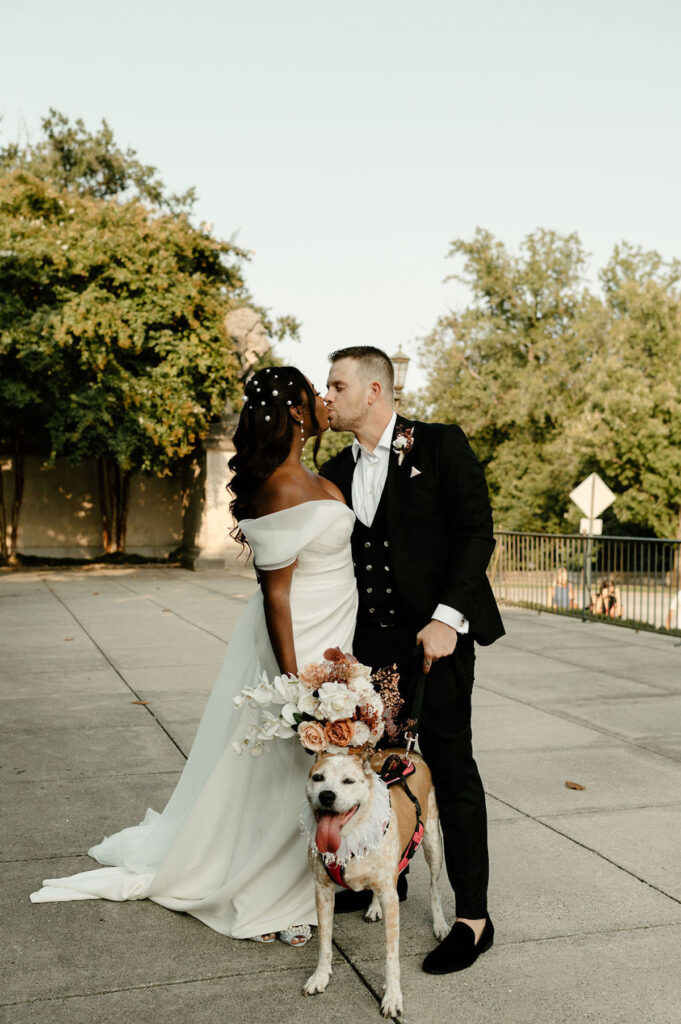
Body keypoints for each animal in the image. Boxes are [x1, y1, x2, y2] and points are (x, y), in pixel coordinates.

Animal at [301, 745, 448, 1015]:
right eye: (318, 778)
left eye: (348, 781)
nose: (326, 795)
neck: (349, 835)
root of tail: (407, 751)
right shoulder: (323, 891)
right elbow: (325, 942)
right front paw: (320, 977)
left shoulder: (391, 898)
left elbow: (391, 955)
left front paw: (392, 996)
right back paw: (373, 907)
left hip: (432, 840)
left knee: (434, 887)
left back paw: (440, 924)